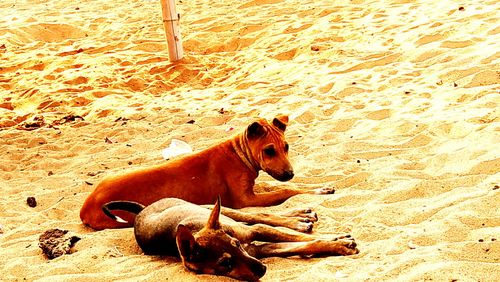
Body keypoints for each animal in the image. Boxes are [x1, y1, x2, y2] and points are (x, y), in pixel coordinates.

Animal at [102, 197, 360, 280]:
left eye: (236, 245)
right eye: (225, 263)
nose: (263, 270)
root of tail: (143, 209)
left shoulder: (255, 234)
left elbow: (298, 237)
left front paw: (339, 241)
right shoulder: (262, 249)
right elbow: (304, 244)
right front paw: (339, 245)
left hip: (218, 209)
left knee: (260, 215)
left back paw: (301, 218)